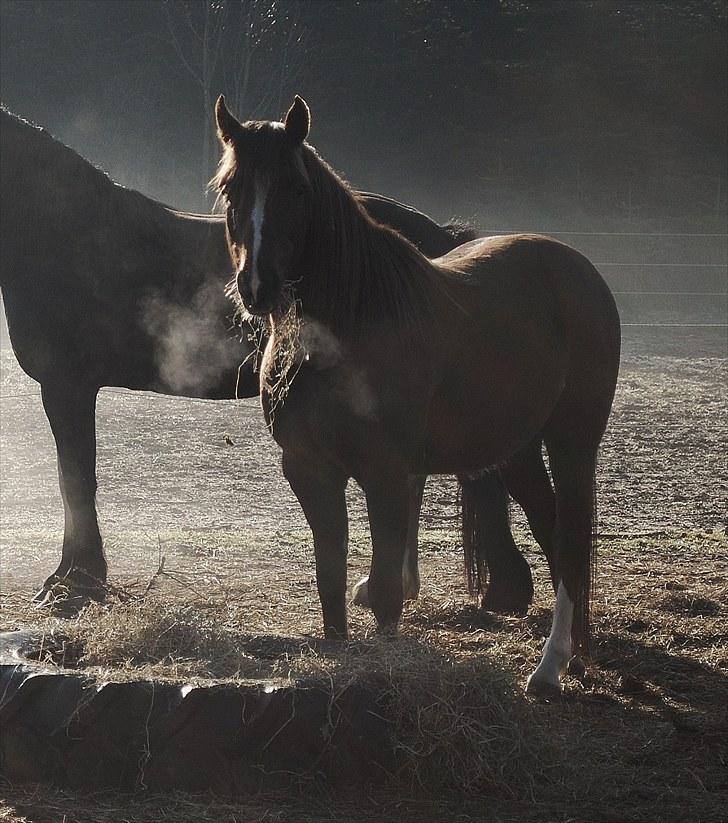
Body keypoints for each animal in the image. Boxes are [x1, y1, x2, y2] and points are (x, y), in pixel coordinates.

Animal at [213, 95, 616, 696]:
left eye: (297, 190)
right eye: (230, 190)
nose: (257, 287)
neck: (346, 331)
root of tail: (579, 270)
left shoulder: (384, 472)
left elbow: (384, 592)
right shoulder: (310, 469)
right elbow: (329, 578)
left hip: (573, 441)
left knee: (569, 538)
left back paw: (549, 670)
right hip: (517, 449)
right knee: (552, 533)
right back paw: (571, 656)